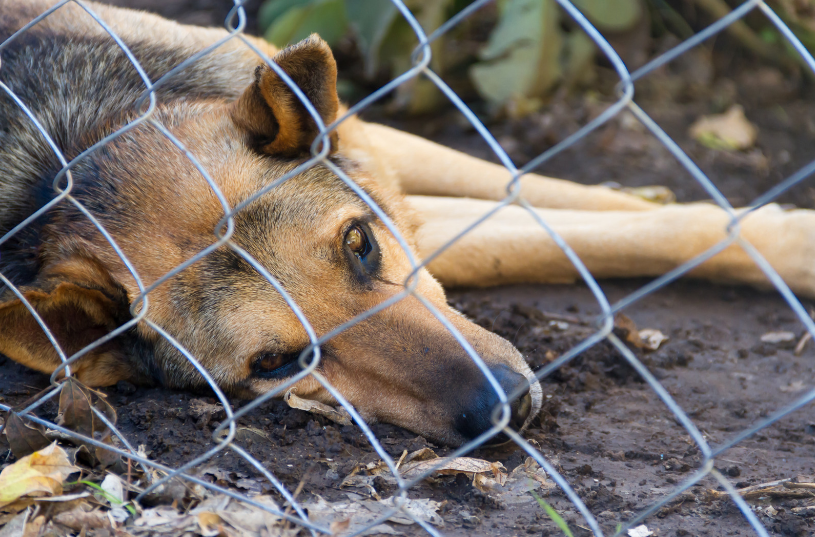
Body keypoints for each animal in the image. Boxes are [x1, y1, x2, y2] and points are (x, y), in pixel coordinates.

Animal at [0, 0, 812, 444]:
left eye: (359, 245)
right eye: (278, 363)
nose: (505, 406)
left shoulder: (375, 154)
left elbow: (549, 197)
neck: (78, 145)